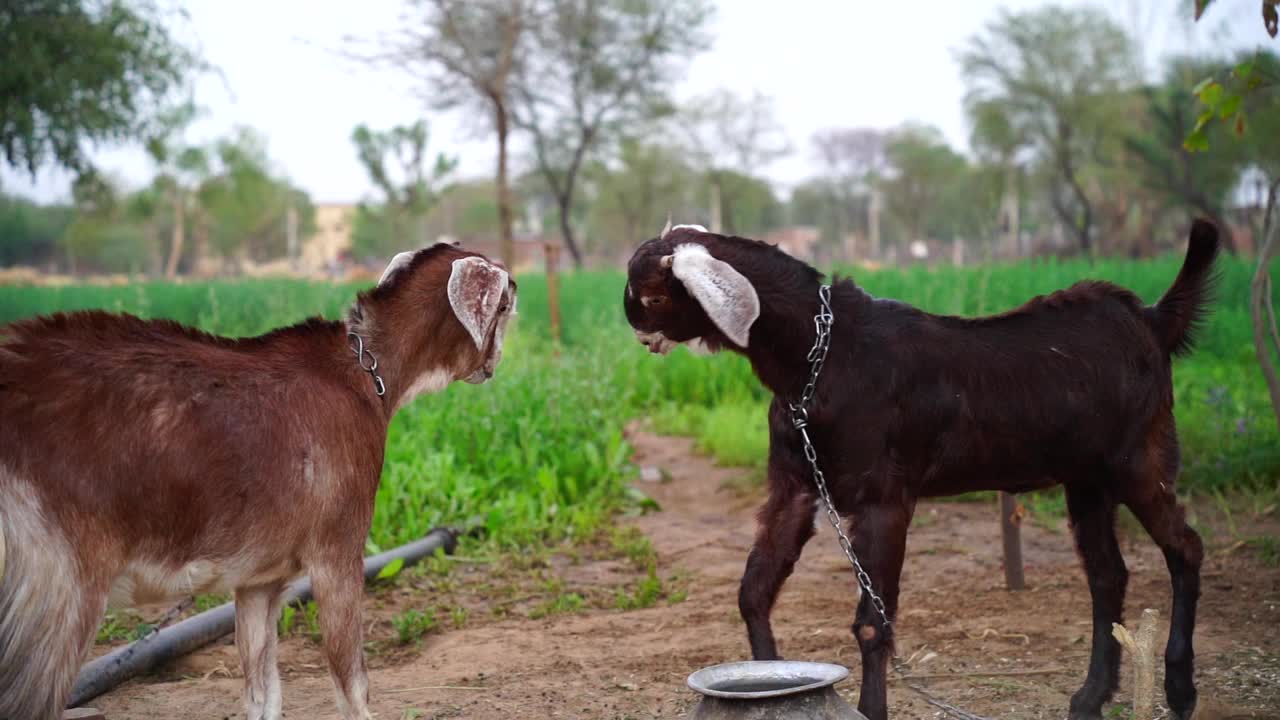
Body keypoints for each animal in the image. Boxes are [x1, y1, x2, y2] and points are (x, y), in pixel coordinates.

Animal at [2, 242, 519, 717]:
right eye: (506, 302)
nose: (494, 364)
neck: (363, 374)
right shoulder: (338, 550)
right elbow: (352, 683)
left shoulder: (259, 579)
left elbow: (263, 689)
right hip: (55, 583)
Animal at [624, 220, 1223, 717]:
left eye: (652, 294)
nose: (638, 335)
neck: (818, 356)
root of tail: (1151, 319)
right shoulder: (796, 486)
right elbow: (754, 589)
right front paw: (769, 678)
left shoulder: (883, 498)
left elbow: (872, 623)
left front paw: (870, 711)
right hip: (1086, 478)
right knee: (1108, 575)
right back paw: (1090, 697)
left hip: (1139, 458)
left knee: (1184, 548)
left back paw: (1179, 690)